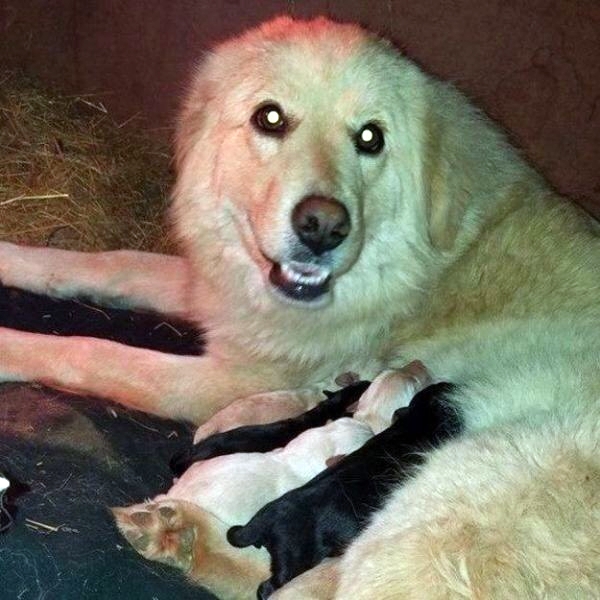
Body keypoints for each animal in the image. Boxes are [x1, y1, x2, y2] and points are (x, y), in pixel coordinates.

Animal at [1, 15, 600, 598]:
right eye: (270, 118)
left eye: (370, 137)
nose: (323, 228)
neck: (415, 264)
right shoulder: (221, 298)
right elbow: (107, 264)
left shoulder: (228, 378)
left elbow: (92, 352)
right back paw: (177, 533)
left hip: (435, 503)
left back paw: (178, 531)